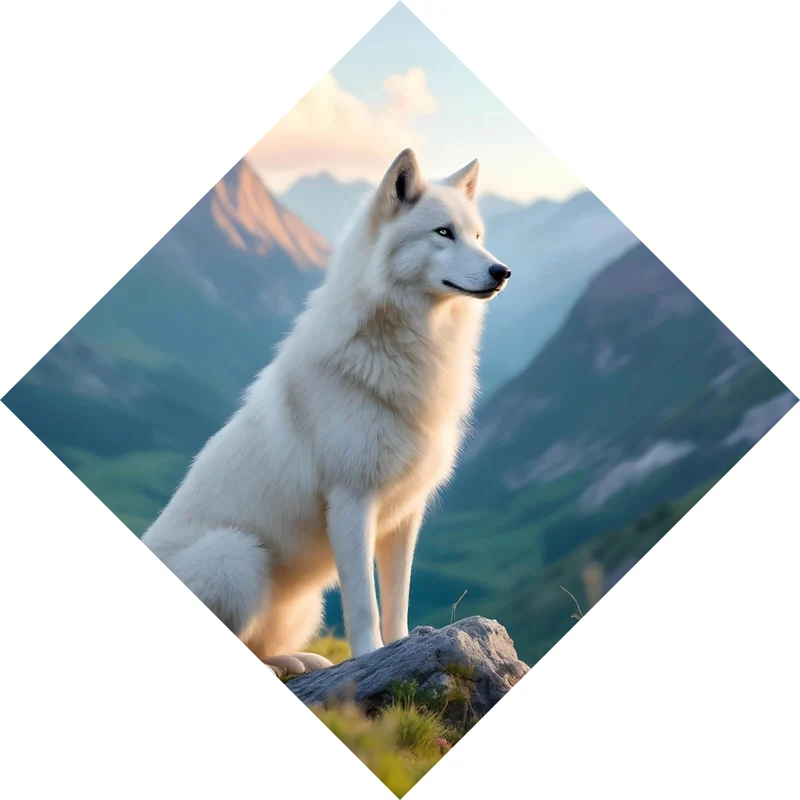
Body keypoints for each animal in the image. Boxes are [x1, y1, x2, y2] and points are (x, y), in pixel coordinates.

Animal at [142, 148, 511, 673]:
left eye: (478, 236)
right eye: (443, 233)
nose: (502, 272)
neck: (407, 344)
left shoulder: (404, 515)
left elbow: (396, 602)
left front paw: (403, 648)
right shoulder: (352, 504)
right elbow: (364, 606)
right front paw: (371, 658)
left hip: (300, 601)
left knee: (260, 646)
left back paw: (300, 661)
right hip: (235, 554)